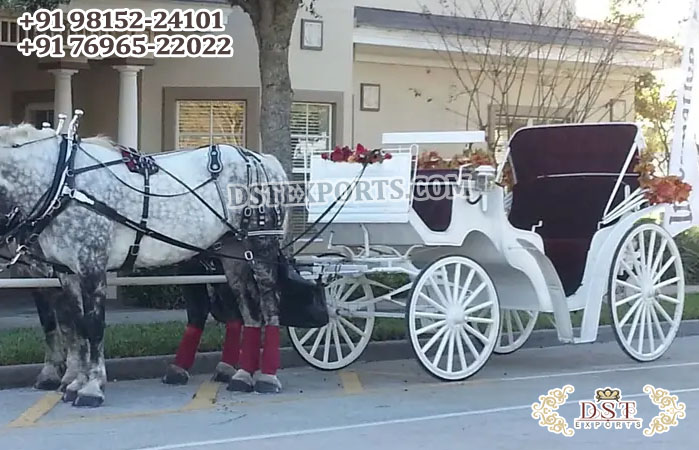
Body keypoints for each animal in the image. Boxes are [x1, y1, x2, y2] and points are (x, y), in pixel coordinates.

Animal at [0, 125, 290, 406]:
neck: (65, 182)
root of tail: (262, 159)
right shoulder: (66, 272)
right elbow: (77, 327)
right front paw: (75, 383)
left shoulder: (91, 266)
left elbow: (93, 326)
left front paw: (92, 388)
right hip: (231, 254)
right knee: (249, 310)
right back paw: (242, 375)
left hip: (261, 246)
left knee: (270, 304)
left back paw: (267, 376)